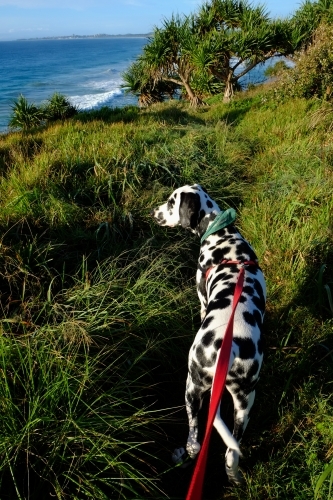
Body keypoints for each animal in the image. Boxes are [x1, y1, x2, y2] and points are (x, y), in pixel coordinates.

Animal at [150, 184, 264, 484]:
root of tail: (230, 346)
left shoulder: (202, 299)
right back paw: (234, 478)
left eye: (171, 202)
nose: (154, 213)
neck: (221, 233)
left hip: (191, 386)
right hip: (245, 402)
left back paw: (184, 452)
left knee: (195, 439)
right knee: (231, 452)